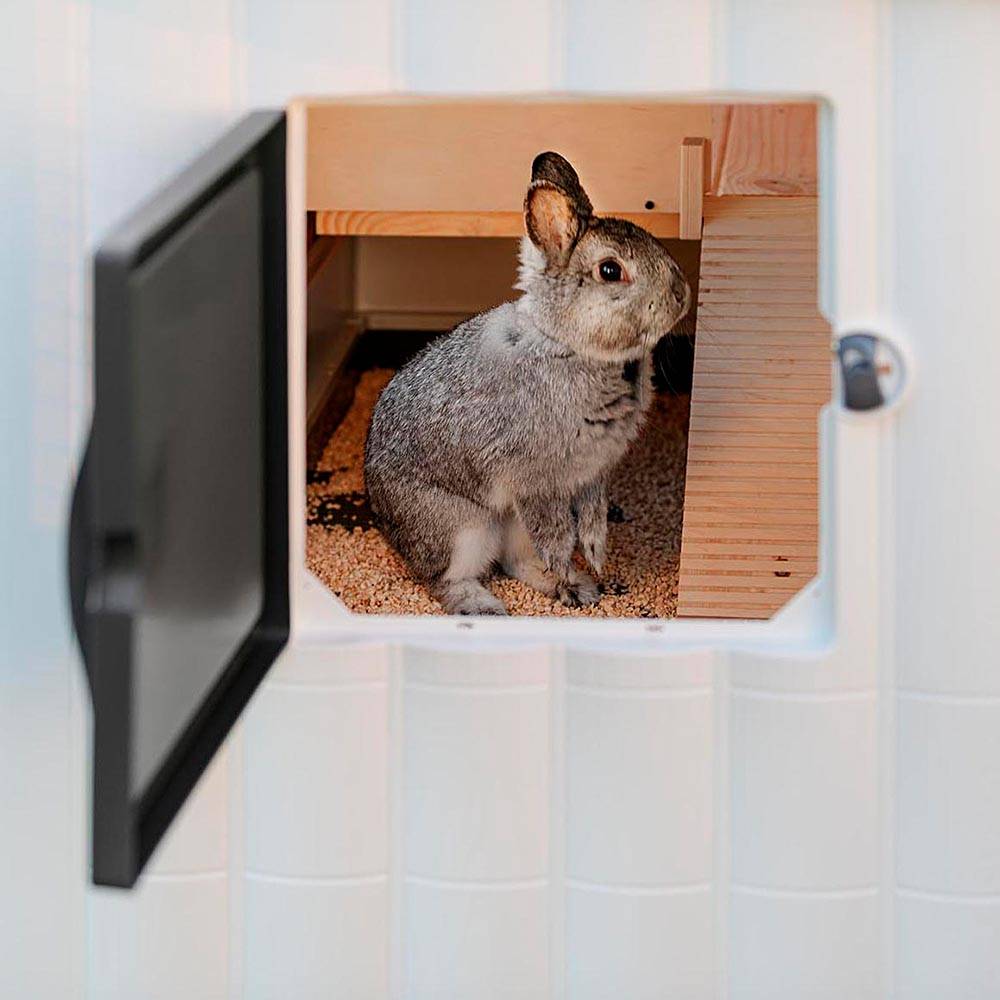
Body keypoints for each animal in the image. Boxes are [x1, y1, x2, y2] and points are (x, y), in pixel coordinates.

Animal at [364, 151, 691, 615]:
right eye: (610, 270)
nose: (682, 295)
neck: (570, 345)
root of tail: (382, 516)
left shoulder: (592, 476)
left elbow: (591, 519)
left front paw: (596, 559)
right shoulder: (538, 482)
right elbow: (557, 537)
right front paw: (577, 567)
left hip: (509, 525)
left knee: (515, 560)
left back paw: (572, 586)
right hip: (461, 528)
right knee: (445, 578)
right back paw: (489, 606)